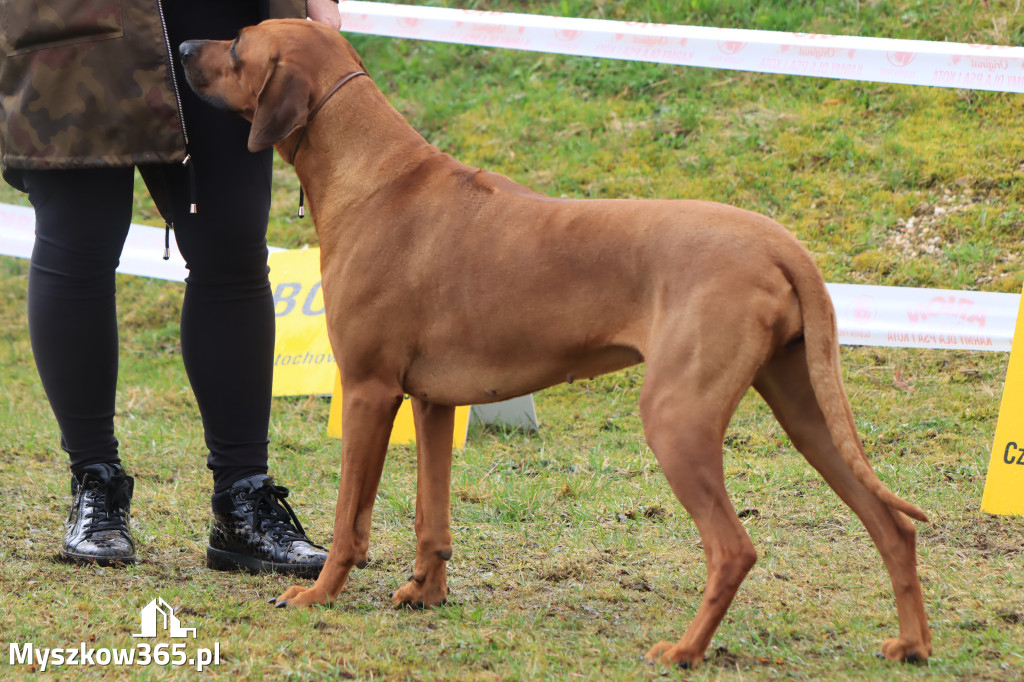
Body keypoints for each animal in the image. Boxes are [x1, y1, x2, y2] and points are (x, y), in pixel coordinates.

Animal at [180, 19, 933, 663]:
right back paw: (911, 644)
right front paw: (426, 593)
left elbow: (348, 521)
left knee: (733, 548)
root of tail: (781, 243)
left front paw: (319, 594)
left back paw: (685, 651)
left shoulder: (369, 391)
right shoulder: (433, 403)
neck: (375, 176)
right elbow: (432, 515)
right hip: (805, 409)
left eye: (237, 44)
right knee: (891, 524)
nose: (182, 44)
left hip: (676, 416)